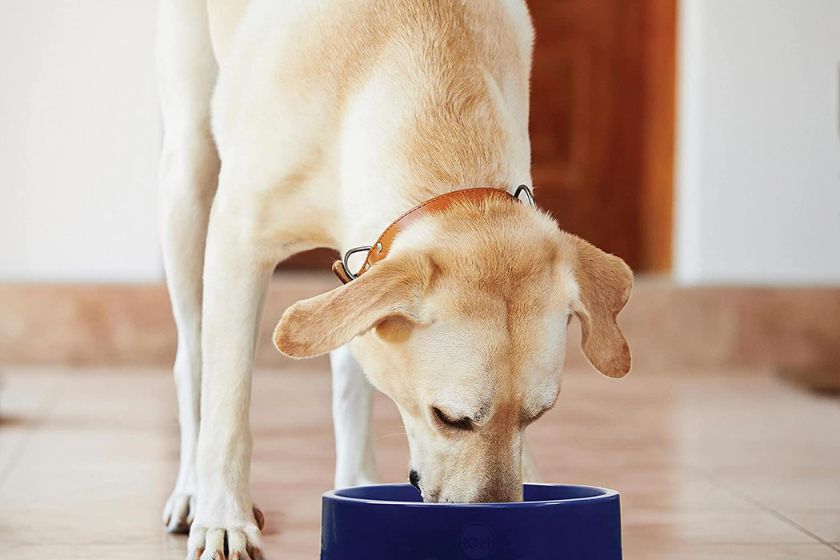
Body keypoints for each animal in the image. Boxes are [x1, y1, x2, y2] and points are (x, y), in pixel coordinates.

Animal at [156, 2, 632, 556]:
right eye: (449, 417)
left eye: (536, 415)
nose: (492, 520)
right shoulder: (239, 239)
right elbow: (228, 404)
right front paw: (225, 521)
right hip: (187, 175)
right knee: (193, 362)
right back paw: (194, 492)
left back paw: (357, 479)